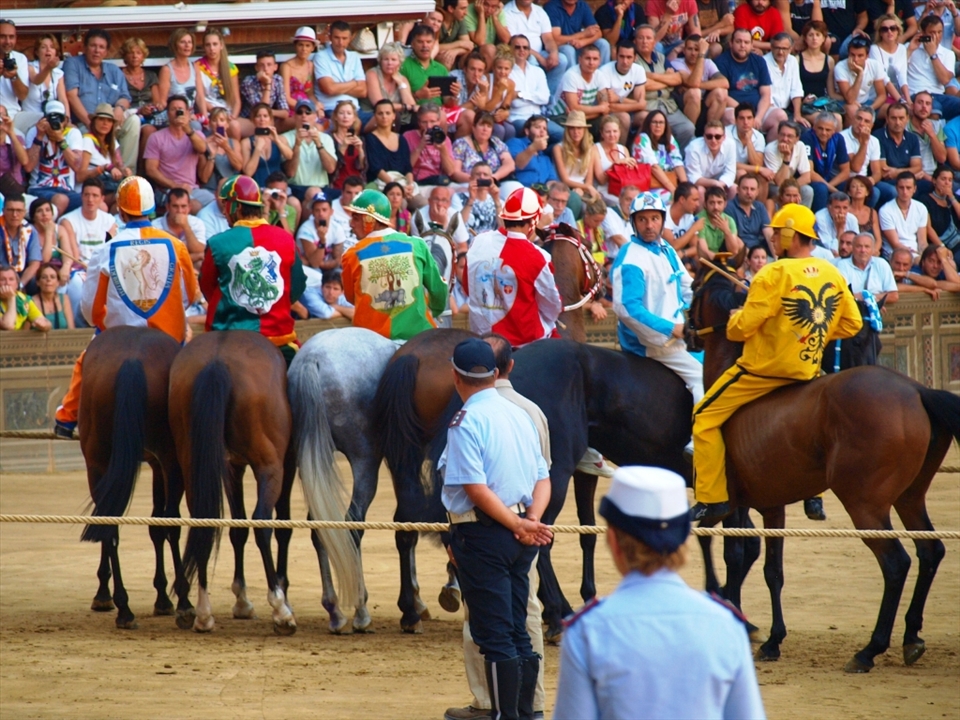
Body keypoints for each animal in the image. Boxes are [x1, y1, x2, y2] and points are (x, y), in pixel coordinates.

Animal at [77, 326, 193, 630]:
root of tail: (131, 359)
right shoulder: (163, 464)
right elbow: (161, 525)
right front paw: (167, 598)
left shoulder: (149, 465)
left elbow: (151, 526)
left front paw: (104, 594)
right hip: (171, 462)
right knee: (172, 523)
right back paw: (184, 602)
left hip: (97, 461)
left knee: (109, 524)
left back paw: (123, 608)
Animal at [169, 331, 302, 634]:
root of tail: (217, 360)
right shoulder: (287, 464)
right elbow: (282, 526)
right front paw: (281, 595)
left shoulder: (232, 467)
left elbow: (237, 529)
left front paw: (242, 600)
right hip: (270, 467)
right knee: (263, 523)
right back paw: (280, 610)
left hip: (193, 464)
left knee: (203, 523)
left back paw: (203, 613)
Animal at [287, 327, 397, 633]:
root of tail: (312, 359)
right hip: (364, 461)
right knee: (352, 525)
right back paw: (360, 611)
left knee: (320, 528)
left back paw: (334, 611)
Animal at [688, 258, 959, 672]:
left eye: (693, 288)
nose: (685, 333)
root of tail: (917, 390)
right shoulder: (772, 507)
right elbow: (772, 570)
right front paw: (772, 640)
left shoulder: (731, 503)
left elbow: (730, 553)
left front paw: (735, 615)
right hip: (909, 497)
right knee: (930, 551)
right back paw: (911, 636)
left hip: (865, 504)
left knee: (895, 563)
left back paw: (870, 649)